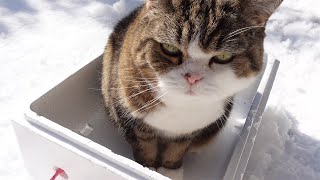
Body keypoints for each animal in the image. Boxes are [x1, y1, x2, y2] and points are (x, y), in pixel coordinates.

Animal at [102, 0, 282, 177]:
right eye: (170, 48)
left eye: (223, 56)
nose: (193, 77)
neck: (181, 106)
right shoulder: (130, 118)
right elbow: (144, 147)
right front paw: (147, 168)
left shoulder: (191, 130)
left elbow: (177, 149)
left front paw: (170, 171)